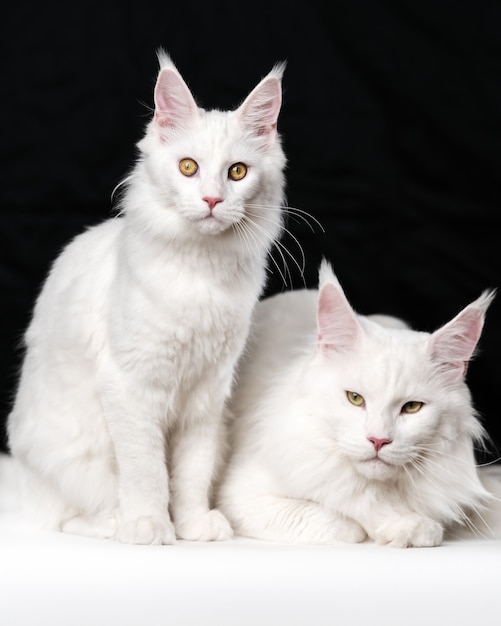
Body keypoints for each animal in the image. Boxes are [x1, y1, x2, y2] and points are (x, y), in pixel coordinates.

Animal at [5, 50, 286, 540]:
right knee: (65, 516)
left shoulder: (206, 396)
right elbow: (147, 470)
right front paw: (149, 524)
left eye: (237, 172)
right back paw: (115, 520)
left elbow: (191, 472)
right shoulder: (131, 387)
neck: (201, 274)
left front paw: (192, 523)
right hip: (72, 452)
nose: (212, 200)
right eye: (188, 167)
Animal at [219, 258, 500, 544]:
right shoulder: (241, 497)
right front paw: (393, 527)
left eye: (412, 407)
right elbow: (347, 526)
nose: (378, 440)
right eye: (355, 398)